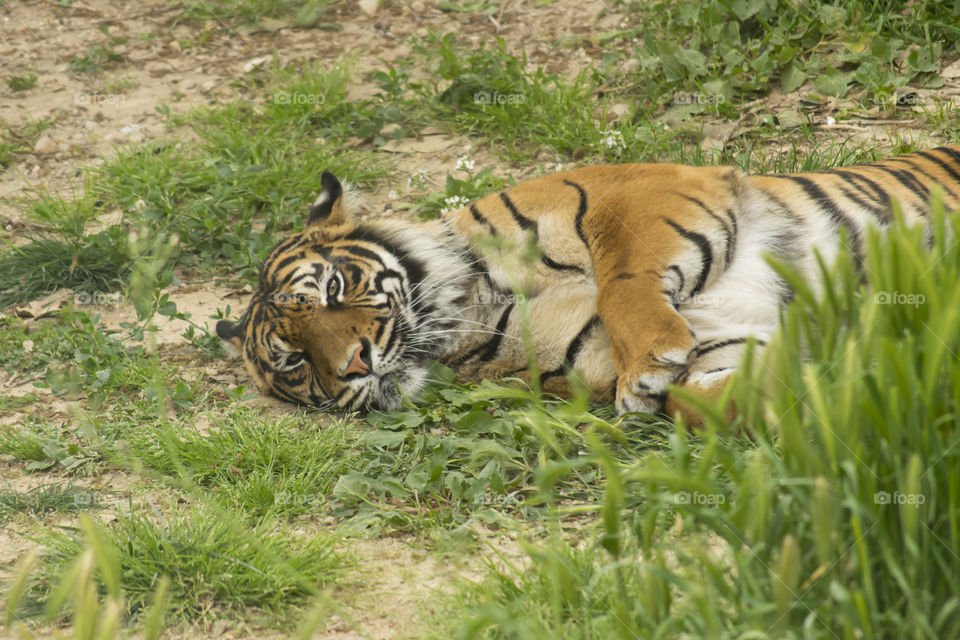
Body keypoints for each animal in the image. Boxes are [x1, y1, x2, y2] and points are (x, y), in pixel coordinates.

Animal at [216, 145, 960, 425]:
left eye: (333, 289)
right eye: (294, 360)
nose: (354, 365)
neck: (472, 304)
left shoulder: (638, 194)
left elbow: (620, 281)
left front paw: (649, 356)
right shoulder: (731, 338)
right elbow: (703, 400)